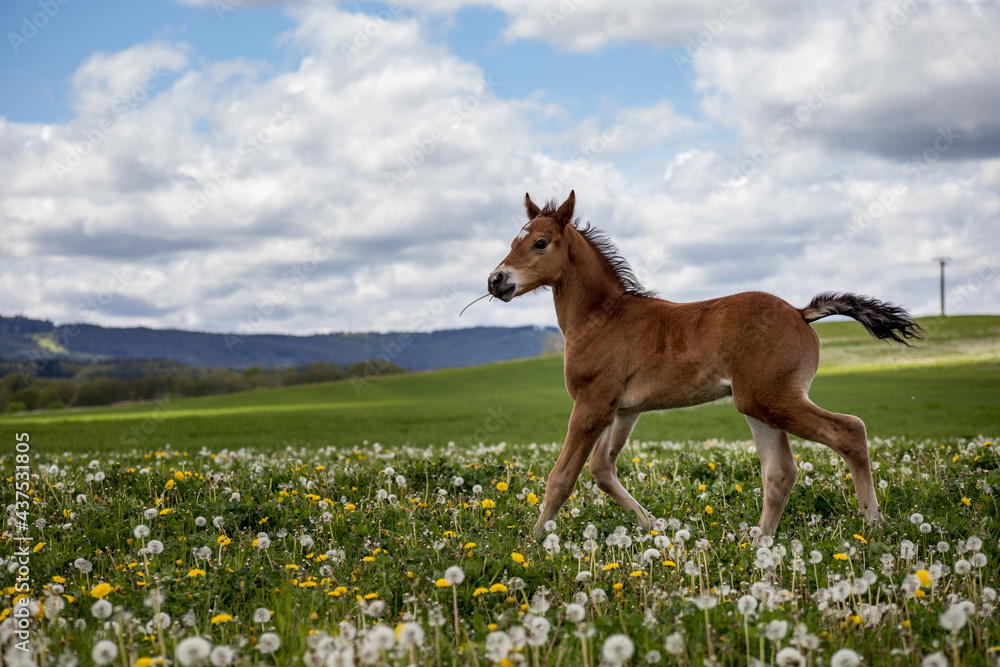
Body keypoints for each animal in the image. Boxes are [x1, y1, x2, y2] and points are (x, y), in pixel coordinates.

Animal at [486, 190, 920, 540]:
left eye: (540, 242)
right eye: (513, 241)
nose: (496, 280)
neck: (602, 317)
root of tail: (800, 313)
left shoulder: (591, 404)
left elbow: (562, 477)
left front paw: (534, 543)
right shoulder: (621, 411)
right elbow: (601, 469)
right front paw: (652, 526)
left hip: (772, 399)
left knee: (849, 431)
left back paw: (873, 523)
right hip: (759, 405)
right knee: (780, 472)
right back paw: (760, 543)